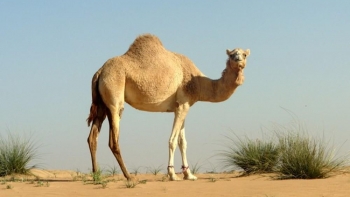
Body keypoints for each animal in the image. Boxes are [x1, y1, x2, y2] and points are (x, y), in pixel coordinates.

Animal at [87, 33, 252, 180]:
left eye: (244, 55)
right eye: (232, 55)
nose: (238, 60)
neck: (198, 82)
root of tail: (99, 72)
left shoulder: (181, 107)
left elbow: (182, 142)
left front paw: (189, 175)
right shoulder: (183, 105)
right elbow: (172, 141)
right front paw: (173, 175)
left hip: (101, 104)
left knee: (92, 137)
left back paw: (96, 175)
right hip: (115, 97)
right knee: (114, 140)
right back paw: (129, 177)